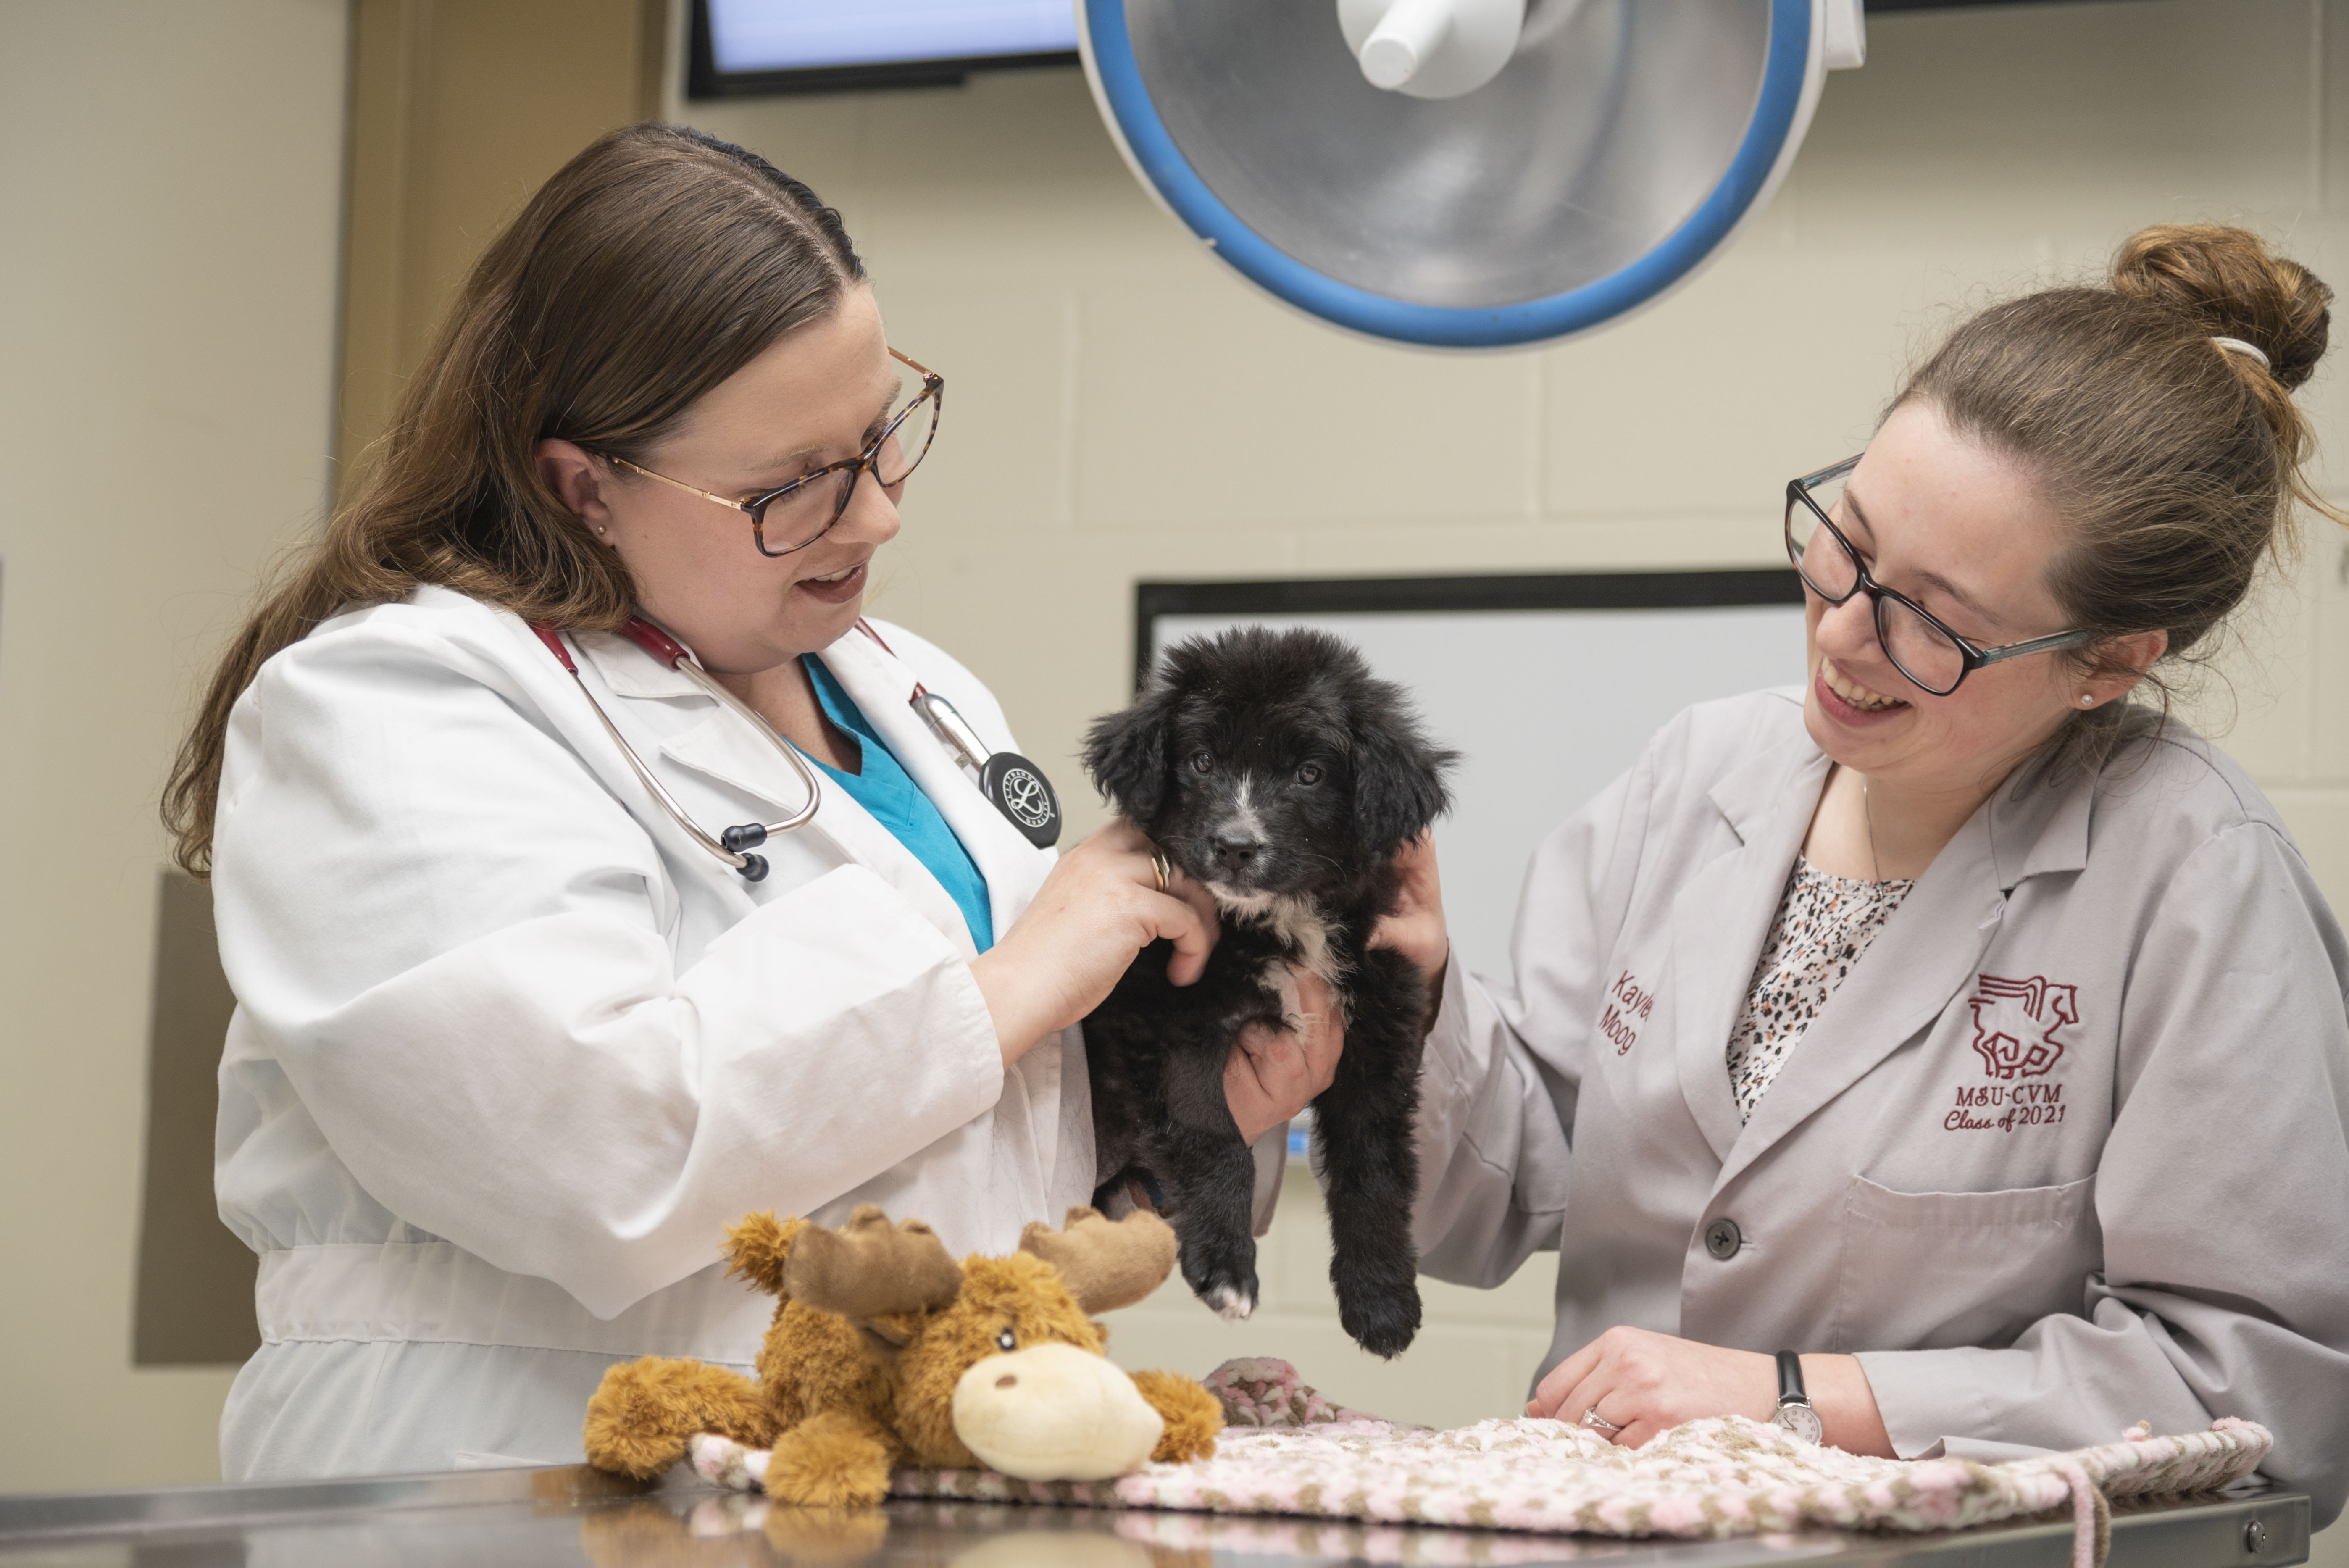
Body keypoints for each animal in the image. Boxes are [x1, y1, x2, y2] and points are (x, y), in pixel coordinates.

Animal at [1080, 629, 1447, 1361]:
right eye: (1199, 762)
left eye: (1308, 773)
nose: (1234, 846)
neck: (1280, 922)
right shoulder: (1168, 1017)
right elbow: (1214, 1138)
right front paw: (1225, 1268)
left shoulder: (1377, 1037)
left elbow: (1375, 1173)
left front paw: (1382, 1298)